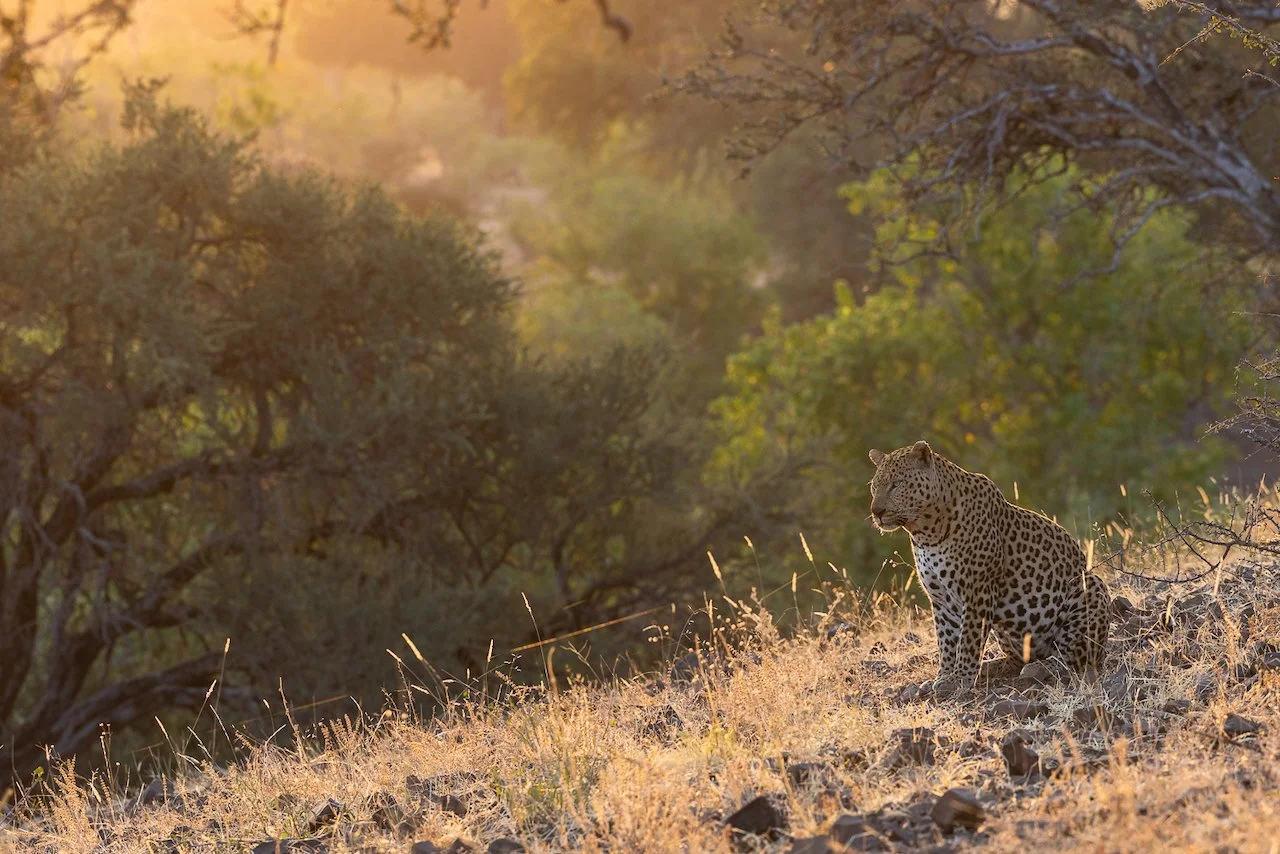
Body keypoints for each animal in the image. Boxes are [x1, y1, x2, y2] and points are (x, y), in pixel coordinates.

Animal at [868, 440, 1110, 693]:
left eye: (896, 485)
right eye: (874, 487)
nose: (877, 512)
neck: (926, 533)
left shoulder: (978, 591)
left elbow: (968, 640)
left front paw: (960, 677)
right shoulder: (941, 599)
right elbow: (947, 641)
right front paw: (944, 676)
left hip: (1091, 586)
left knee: (1073, 657)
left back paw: (1041, 667)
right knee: (1017, 660)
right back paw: (990, 666)